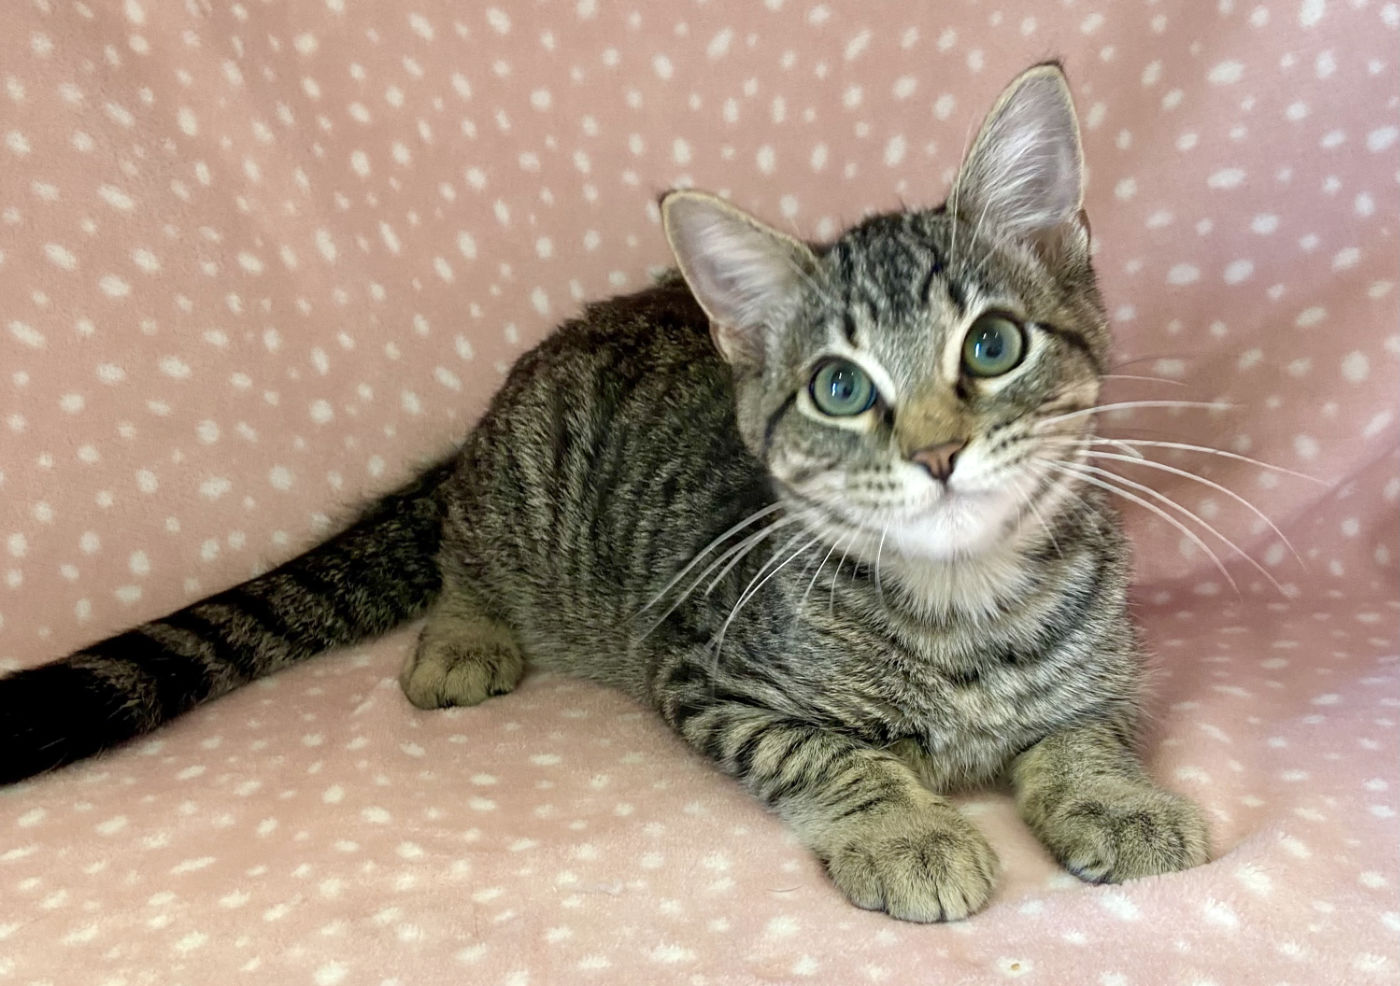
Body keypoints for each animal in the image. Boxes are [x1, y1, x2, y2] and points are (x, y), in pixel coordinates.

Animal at [0, 62, 1208, 922]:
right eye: (839, 386)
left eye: (993, 344)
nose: (938, 450)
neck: (962, 601)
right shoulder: (704, 672)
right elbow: (828, 750)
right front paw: (903, 830)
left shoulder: (1108, 673)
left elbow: (1087, 730)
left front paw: (1118, 798)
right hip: (516, 500)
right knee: (455, 553)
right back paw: (464, 636)